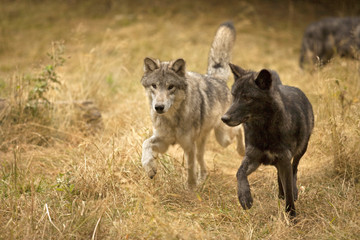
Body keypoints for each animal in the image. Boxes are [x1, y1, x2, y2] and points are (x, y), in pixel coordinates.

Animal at [141, 21, 245, 188]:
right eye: (154, 86)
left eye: (171, 87)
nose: (159, 107)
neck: (173, 119)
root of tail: (216, 78)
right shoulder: (164, 142)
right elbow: (145, 144)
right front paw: (150, 168)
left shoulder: (188, 145)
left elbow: (190, 166)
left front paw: (191, 187)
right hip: (204, 141)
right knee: (201, 160)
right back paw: (203, 178)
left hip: (222, 137)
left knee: (239, 129)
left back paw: (241, 150)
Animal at [221, 63, 314, 218]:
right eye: (233, 96)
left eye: (247, 98)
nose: (224, 118)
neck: (264, 131)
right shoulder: (253, 158)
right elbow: (239, 173)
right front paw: (245, 198)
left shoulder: (284, 159)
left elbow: (289, 190)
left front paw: (292, 215)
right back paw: (280, 194)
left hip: (301, 150)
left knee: (294, 169)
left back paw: (293, 192)